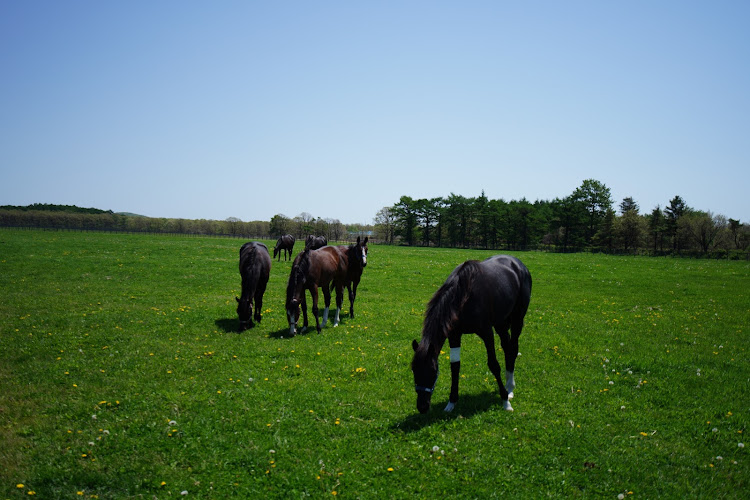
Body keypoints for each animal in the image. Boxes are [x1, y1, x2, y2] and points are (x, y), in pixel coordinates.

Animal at [412, 256, 536, 412]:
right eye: (413, 370)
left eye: (433, 371)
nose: (422, 406)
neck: (463, 295)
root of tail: (518, 264)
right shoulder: (454, 336)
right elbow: (455, 367)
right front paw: (451, 402)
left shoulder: (487, 333)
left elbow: (493, 364)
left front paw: (505, 401)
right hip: (500, 323)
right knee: (507, 349)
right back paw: (508, 386)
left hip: (517, 320)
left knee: (513, 349)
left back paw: (510, 389)